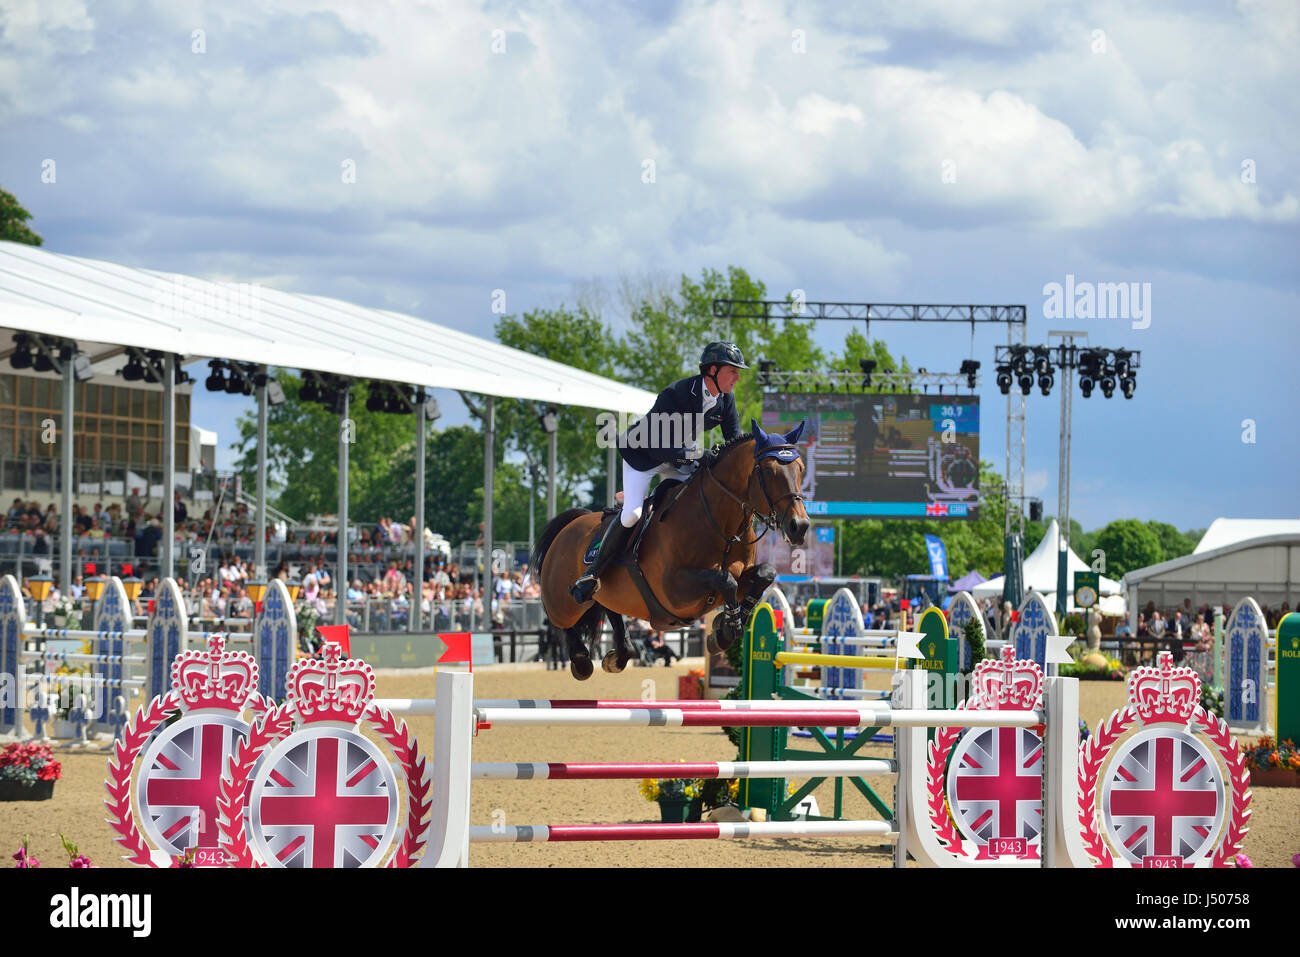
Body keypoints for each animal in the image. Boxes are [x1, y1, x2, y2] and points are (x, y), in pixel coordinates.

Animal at [533, 421, 806, 681]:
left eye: (801, 469)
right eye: (769, 471)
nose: (799, 526)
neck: (722, 525)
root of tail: (571, 524)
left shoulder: (742, 574)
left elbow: (764, 574)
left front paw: (725, 627)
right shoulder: (674, 590)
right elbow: (725, 580)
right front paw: (726, 629)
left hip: (609, 593)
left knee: (611, 610)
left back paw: (620, 655)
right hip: (564, 602)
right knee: (561, 621)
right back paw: (581, 658)